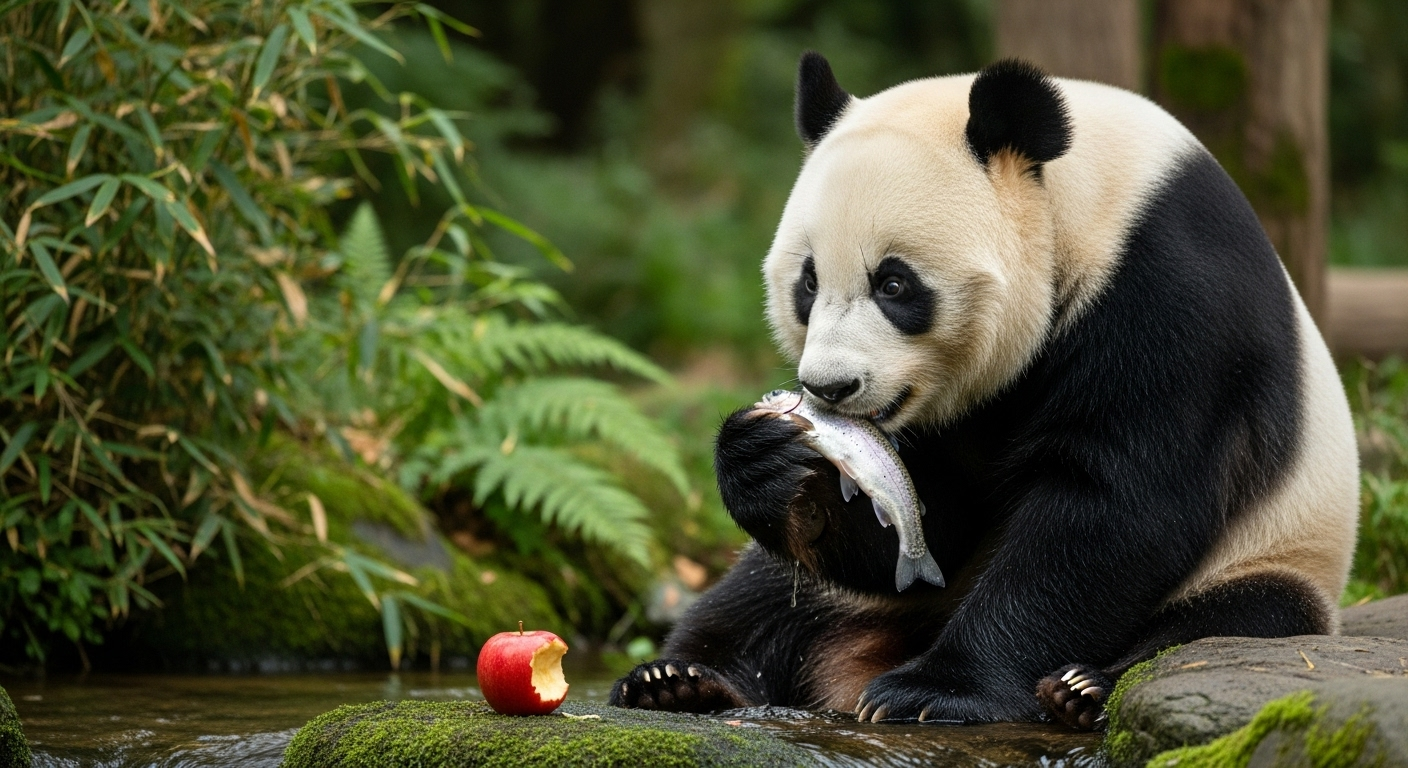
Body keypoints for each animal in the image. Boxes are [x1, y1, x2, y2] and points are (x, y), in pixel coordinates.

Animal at [609, 52, 1359, 729]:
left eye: (895, 283)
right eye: (808, 282)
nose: (830, 387)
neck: (1087, 201)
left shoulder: (1170, 293)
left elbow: (1115, 502)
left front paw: (933, 692)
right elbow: (935, 515)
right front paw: (769, 462)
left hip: (1280, 548)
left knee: (1226, 621)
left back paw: (1081, 688)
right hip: (857, 601)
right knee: (761, 597)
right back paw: (679, 680)